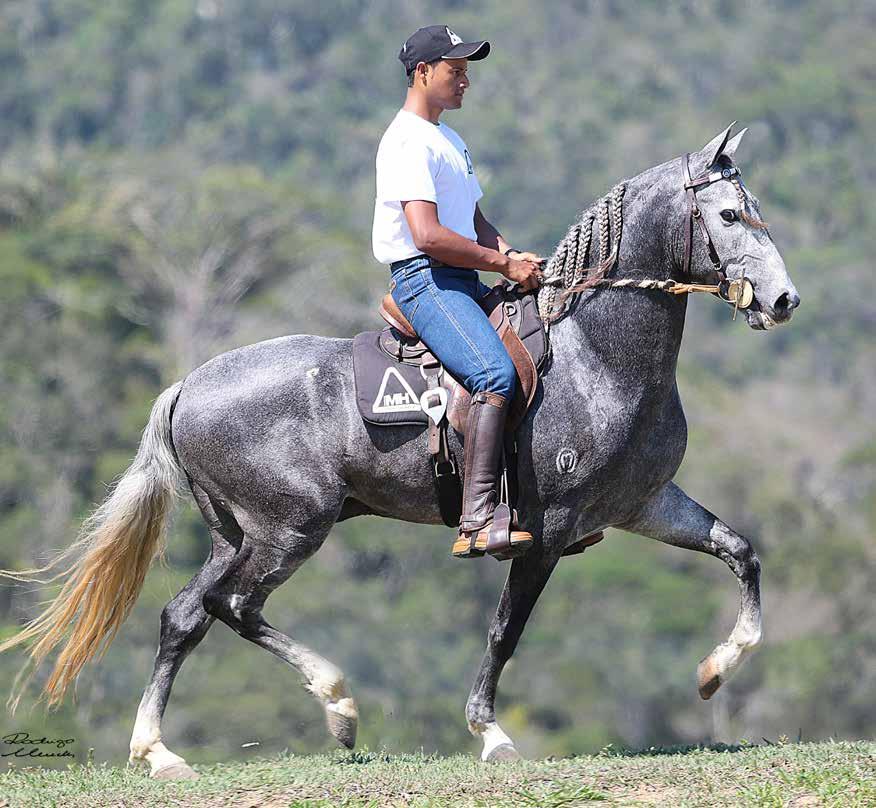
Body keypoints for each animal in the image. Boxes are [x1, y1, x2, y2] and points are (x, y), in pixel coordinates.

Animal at [0, 124, 796, 776]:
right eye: (729, 216)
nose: (783, 300)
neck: (596, 355)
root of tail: (187, 386)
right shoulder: (547, 531)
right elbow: (505, 631)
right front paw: (491, 736)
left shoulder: (644, 504)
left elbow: (742, 552)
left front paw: (715, 671)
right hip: (290, 528)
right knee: (234, 606)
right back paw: (336, 705)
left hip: (236, 534)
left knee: (186, 616)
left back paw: (160, 751)